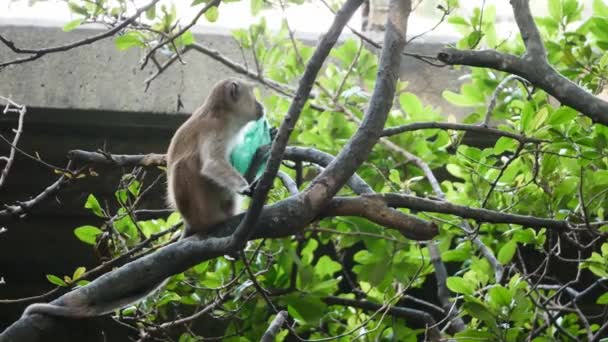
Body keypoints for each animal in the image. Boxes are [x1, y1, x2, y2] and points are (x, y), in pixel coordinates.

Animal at [20, 79, 264, 320]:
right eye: (253, 94)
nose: (261, 105)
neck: (223, 114)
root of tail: (189, 220)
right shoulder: (215, 129)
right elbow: (212, 164)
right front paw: (246, 186)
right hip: (201, 205)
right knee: (185, 166)